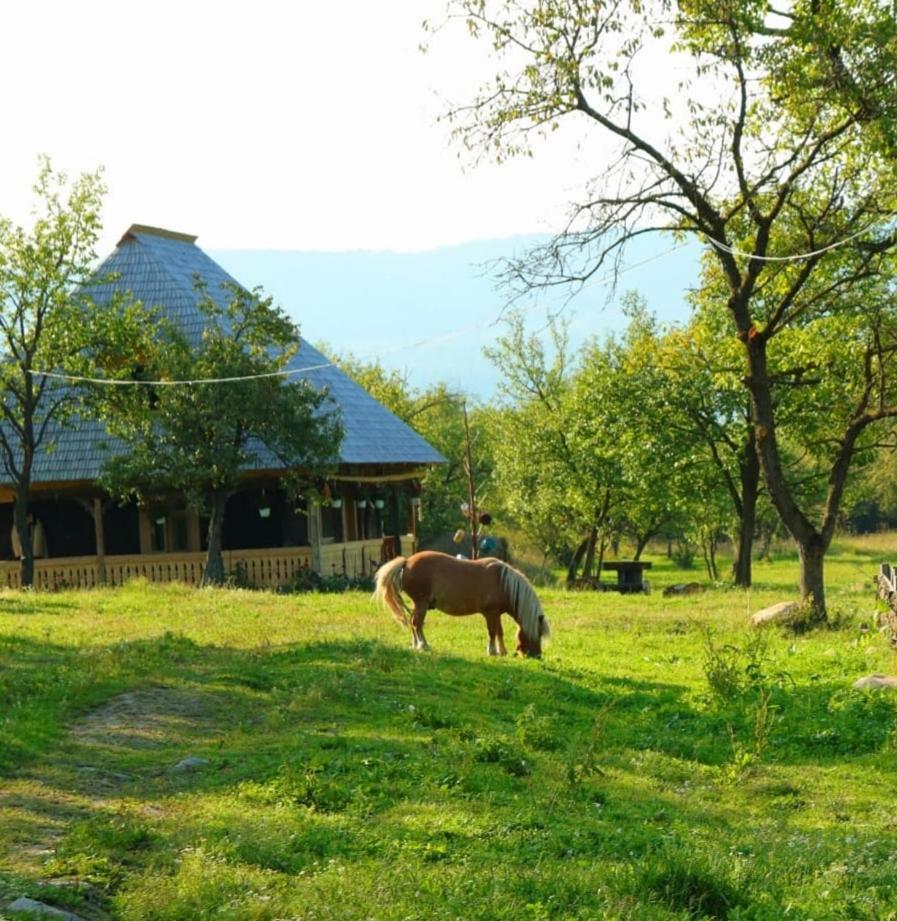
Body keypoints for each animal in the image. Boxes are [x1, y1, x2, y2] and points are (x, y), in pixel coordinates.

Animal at [370, 548, 544, 656]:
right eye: (539, 633)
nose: (537, 655)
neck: (503, 582)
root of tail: (406, 562)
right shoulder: (490, 614)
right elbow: (492, 632)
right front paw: (492, 651)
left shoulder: (496, 614)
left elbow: (499, 632)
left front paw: (502, 651)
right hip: (421, 603)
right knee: (416, 624)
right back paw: (423, 645)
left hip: (418, 605)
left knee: (413, 623)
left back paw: (415, 645)